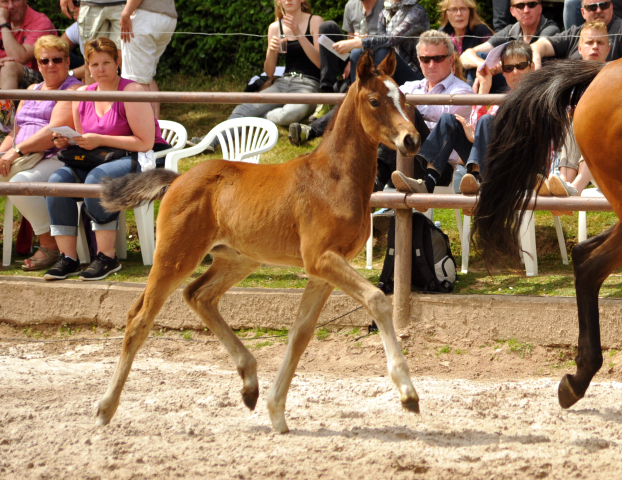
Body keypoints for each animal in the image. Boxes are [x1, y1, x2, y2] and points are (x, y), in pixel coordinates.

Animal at [95, 50, 422, 434]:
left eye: (403, 98)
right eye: (374, 101)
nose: (411, 140)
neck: (333, 179)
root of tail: (177, 179)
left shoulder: (322, 270)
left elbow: (300, 334)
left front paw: (276, 410)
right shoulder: (322, 259)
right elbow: (377, 300)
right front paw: (407, 392)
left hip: (237, 259)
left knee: (198, 295)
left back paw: (249, 383)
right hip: (176, 256)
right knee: (139, 317)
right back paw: (105, 408)